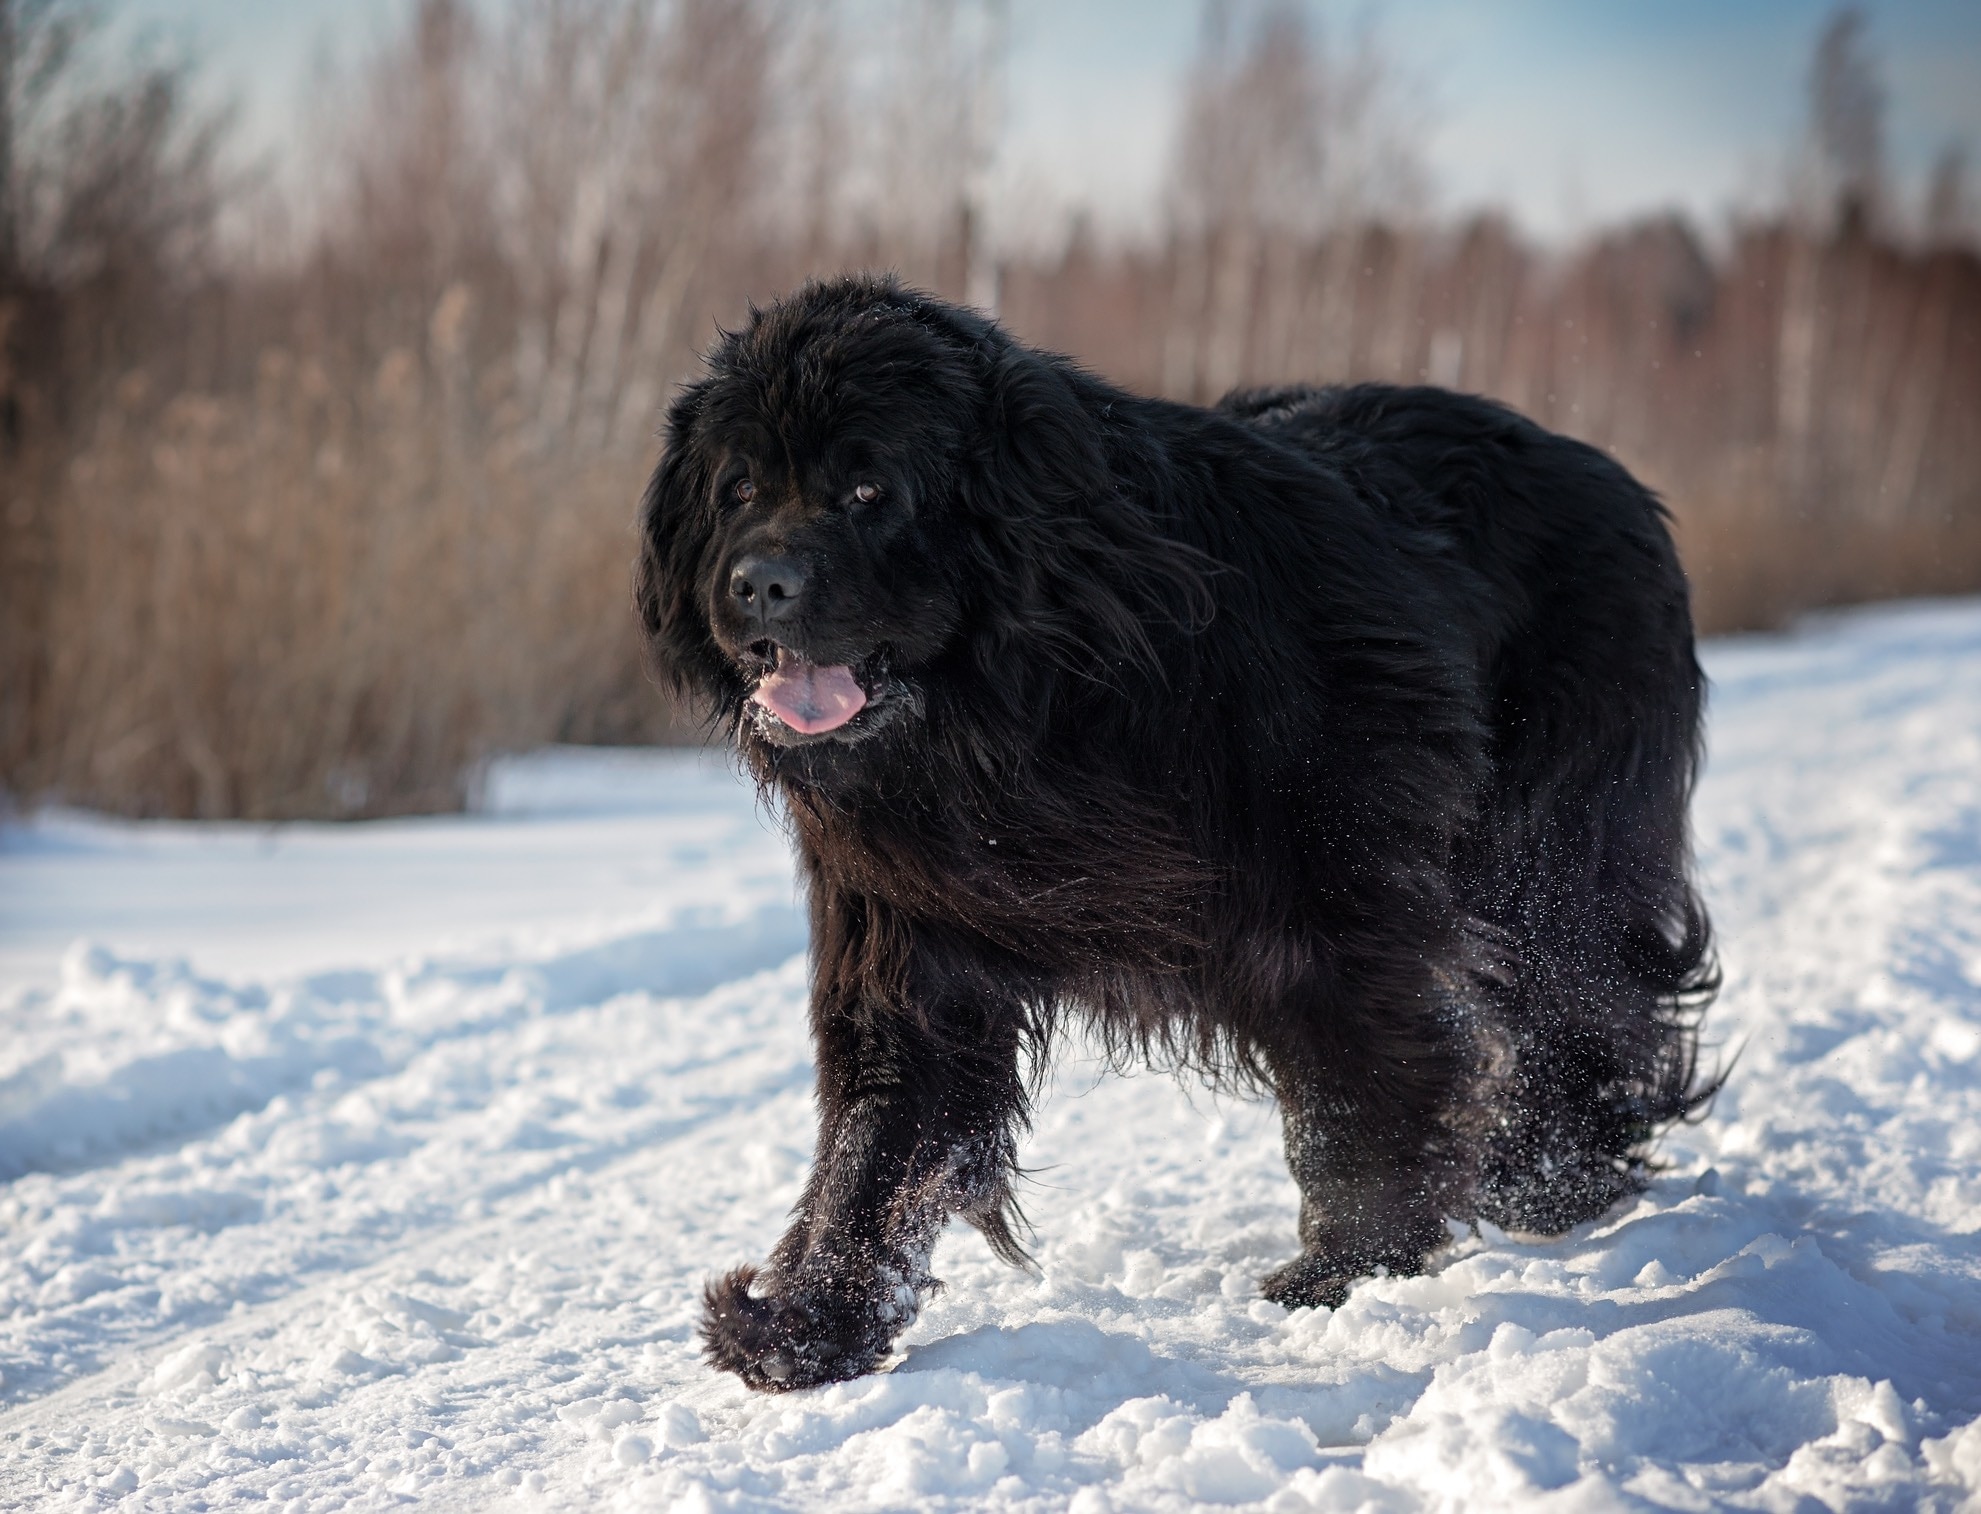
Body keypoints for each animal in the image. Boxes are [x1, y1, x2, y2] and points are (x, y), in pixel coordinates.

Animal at [633, 275, 1719, 1395]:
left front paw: (1347, 1270)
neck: (1035, 705)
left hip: (1547, 837)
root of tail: (1607, 472)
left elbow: (1352, 1088)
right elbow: (879, 1138)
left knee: (1577, 982)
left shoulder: (1328, 909)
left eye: (867, 490)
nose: (760, 581)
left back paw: (1551, 1177)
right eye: (736, 490)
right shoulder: (908, 935)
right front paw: (806, 1324)